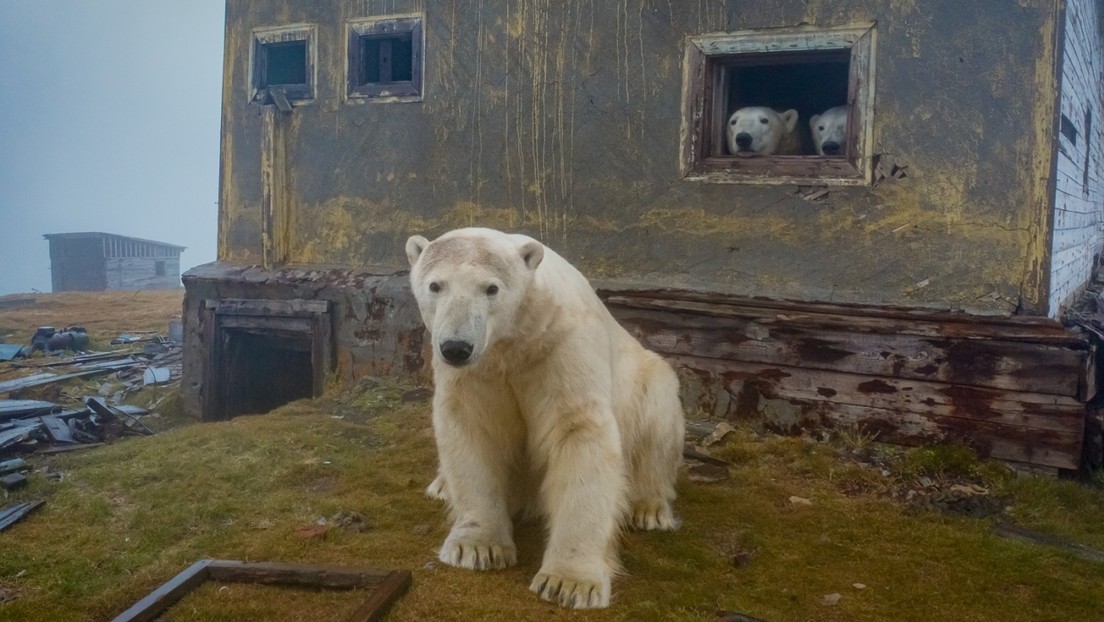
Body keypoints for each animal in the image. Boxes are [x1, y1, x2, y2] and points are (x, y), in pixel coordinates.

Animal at [405, 227, 685, 609]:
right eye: (435, 285)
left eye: (491, 288)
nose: (456, 347)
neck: (514, 341)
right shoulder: (478, 373)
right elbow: (472, 429)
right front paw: (477, 548)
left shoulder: (560, 347)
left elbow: (578, 432)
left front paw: (569, 582)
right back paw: (442, 486)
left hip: (646, 380)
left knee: (658, 421)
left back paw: (649, 508)